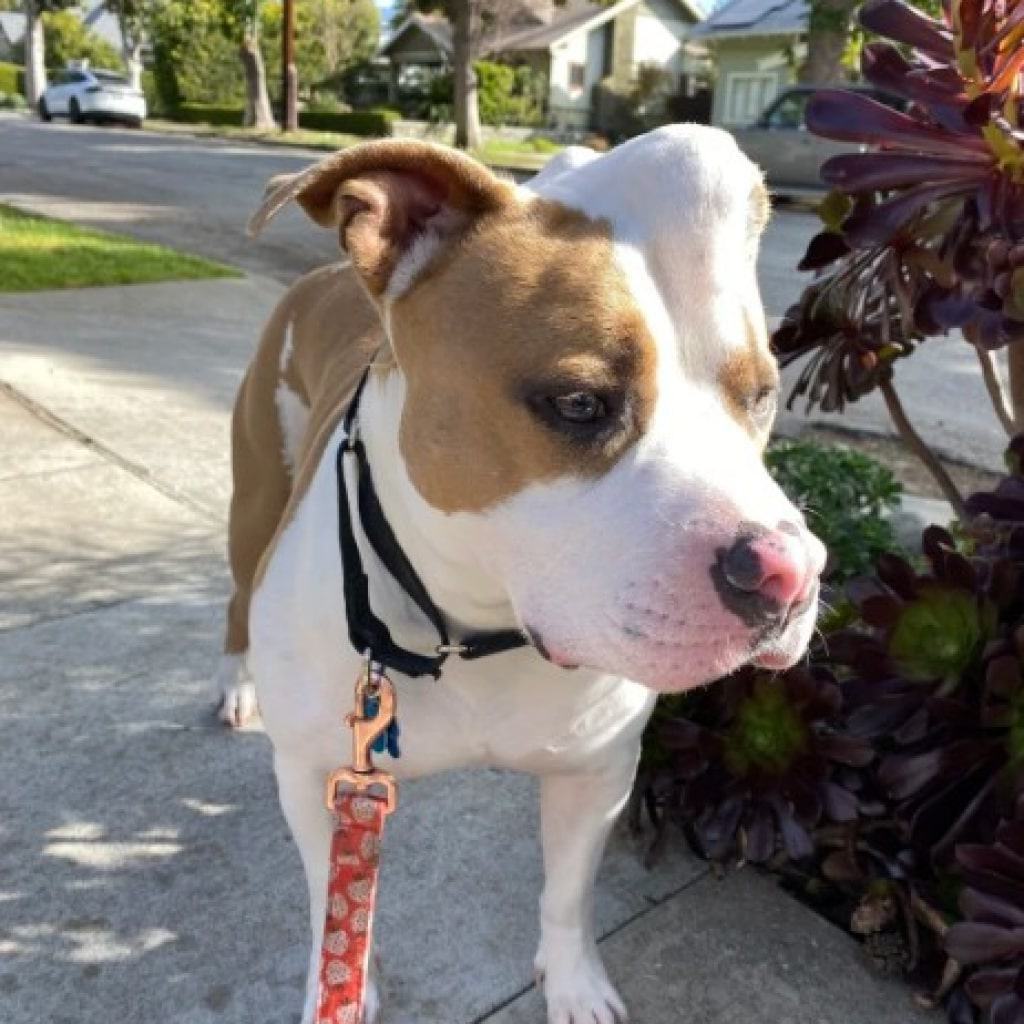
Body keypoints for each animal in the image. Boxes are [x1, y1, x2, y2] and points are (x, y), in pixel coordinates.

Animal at [220, 130, 827, 1024]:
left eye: (760, 397)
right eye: (578, 402)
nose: (793, 573)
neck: (467, 625)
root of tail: (327, 275)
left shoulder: (597, 773)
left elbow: (568, 894)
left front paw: (574, 983)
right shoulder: (312, 777)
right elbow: (327, 900)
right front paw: (344, 985)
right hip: (256, 493)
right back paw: (236, 685)